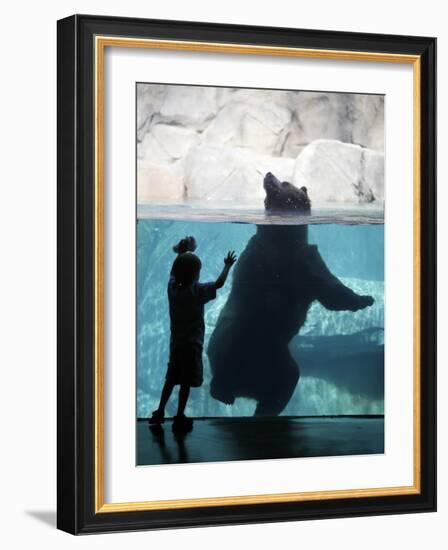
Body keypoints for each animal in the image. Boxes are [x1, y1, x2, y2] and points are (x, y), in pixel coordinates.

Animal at [207, 170, 374, 416]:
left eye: (285, 182)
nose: (268, 174)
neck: (284, 239)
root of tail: (244, 387)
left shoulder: (306, 260)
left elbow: (328, 289)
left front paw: (365, 299)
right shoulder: (267, 258)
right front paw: (366, 299)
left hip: (278, 359)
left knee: (287, 380)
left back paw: (262, 408)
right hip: (235, 335)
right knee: (223, 353)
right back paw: (222, 390)